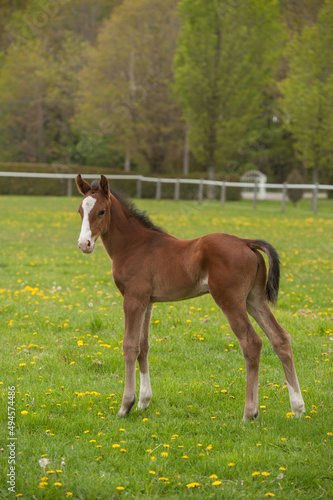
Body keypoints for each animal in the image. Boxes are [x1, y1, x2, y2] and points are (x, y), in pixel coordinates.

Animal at [76, 174, 304, 420]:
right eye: (80, 210)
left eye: (101, 211)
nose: (84, 244)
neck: (135, 245)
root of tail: (246, 242)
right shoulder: (148, 301)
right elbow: (143, 346)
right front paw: (144, 402)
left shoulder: (133, 299)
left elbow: (130, 346)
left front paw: (125, 405)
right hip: (254, 299)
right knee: (280, 338)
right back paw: (298, 408)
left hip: (230, 300)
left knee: (252, 343)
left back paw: (249, 413)